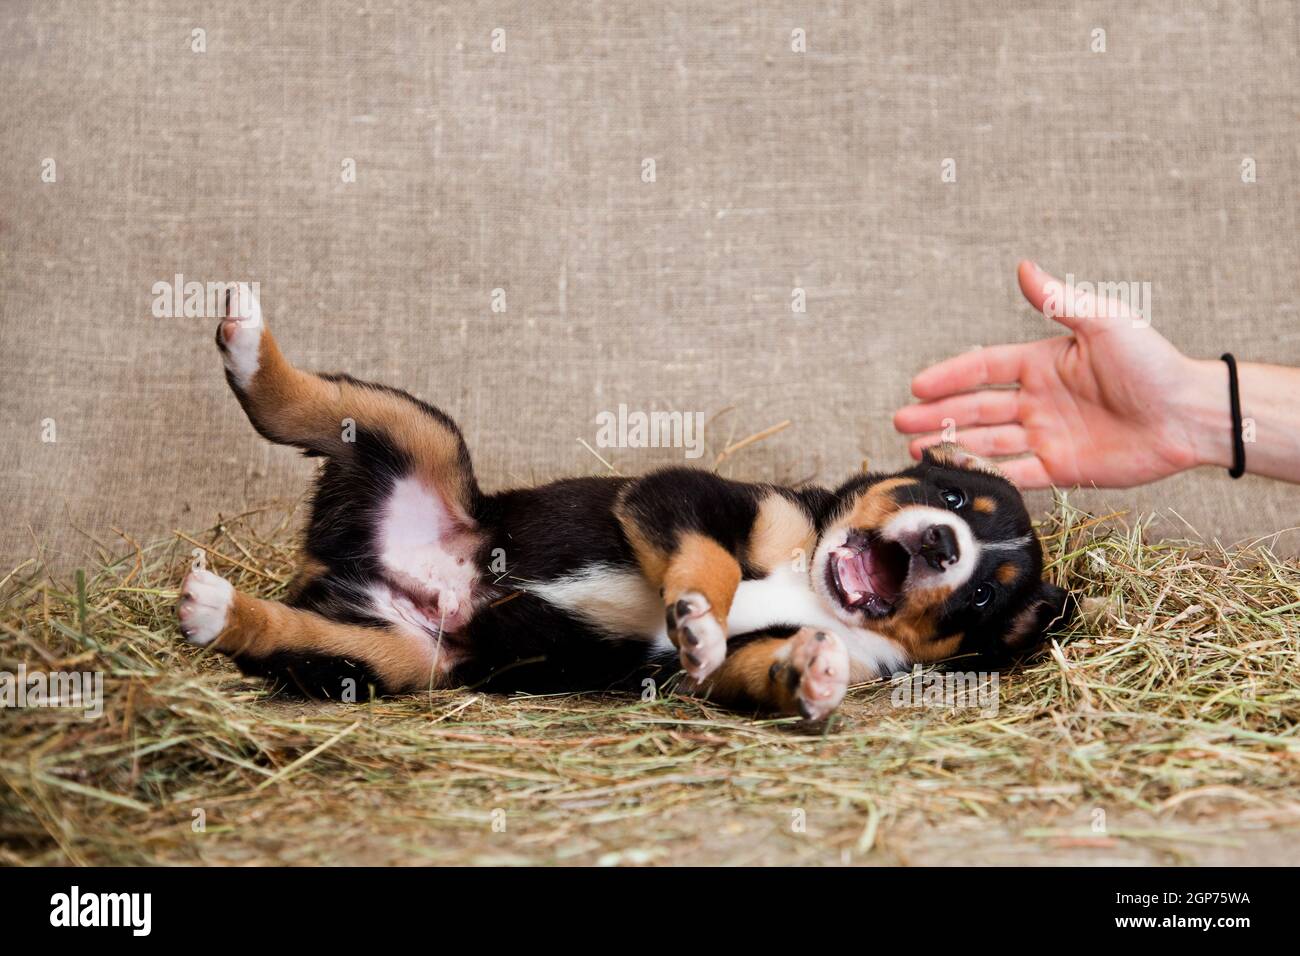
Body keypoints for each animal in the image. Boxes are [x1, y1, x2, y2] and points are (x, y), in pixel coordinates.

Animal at [178, 287, 1071, 723]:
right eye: (951, 495)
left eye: (983, 596)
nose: (946, 548)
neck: (815, 587)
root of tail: (341, 564)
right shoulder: (686, 497)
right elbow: (710, 563)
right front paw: (698, 616)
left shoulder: (735, 671)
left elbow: (756, 667)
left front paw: (813, 677)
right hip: (414, 436)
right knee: (310, 405)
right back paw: (248, 346)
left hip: (398, 654)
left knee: (292, 633)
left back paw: (215, 609)